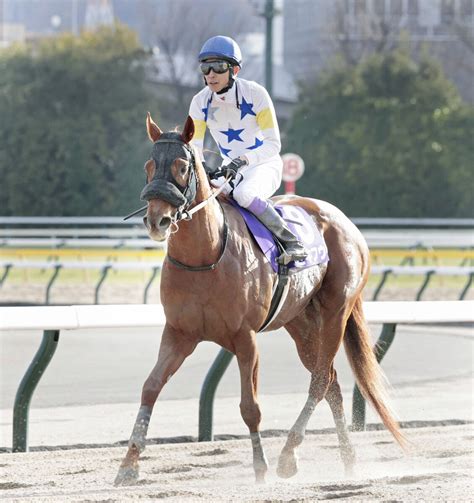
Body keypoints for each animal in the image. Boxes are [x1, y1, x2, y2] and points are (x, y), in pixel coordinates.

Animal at [114, 115, 404, 488]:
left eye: (181, 166)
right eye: (149, 166)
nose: (157, 220)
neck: (206, 256)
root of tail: (344, 221)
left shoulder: (245, 338)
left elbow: (250, 406)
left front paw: (260, 465)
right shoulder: (179, 333)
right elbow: (150, 387)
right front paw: (128, 465)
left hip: (335, 312)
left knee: (321, 380)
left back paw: (288, 454)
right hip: (300, 322)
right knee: (331, 381)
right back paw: (348, 459)